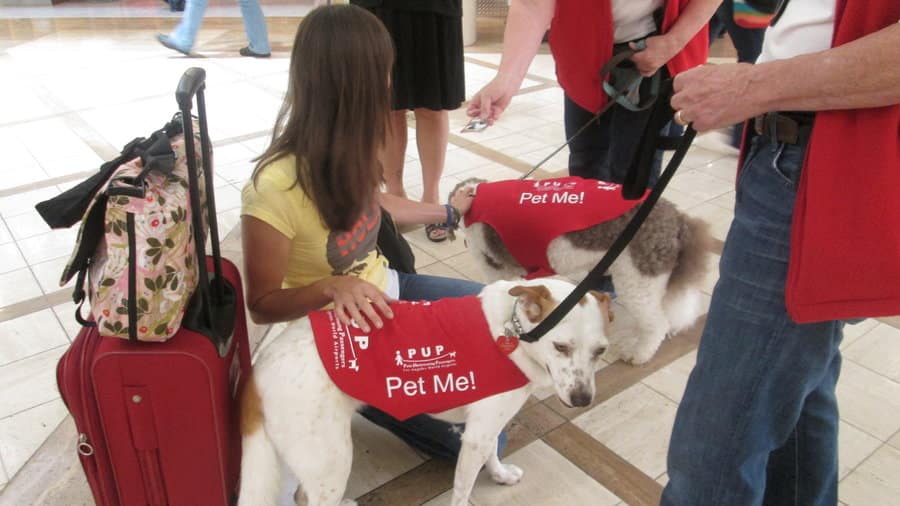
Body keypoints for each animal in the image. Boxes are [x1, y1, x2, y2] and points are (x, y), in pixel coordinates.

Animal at [237, 278, 612, 504]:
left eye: (601, 351)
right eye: (561, 347)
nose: (582, 400)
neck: (513, 331)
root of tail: (258, 368)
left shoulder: (486, 427)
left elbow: (493, 450)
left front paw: (499, 474)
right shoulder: (475, 437)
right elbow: (462, 490)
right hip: (332, 461)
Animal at [454, 177, 708, 364]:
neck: (473, 199)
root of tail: (679, 220)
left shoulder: (495, 267)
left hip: (638, 278)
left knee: (655, 322)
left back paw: (638, 354)